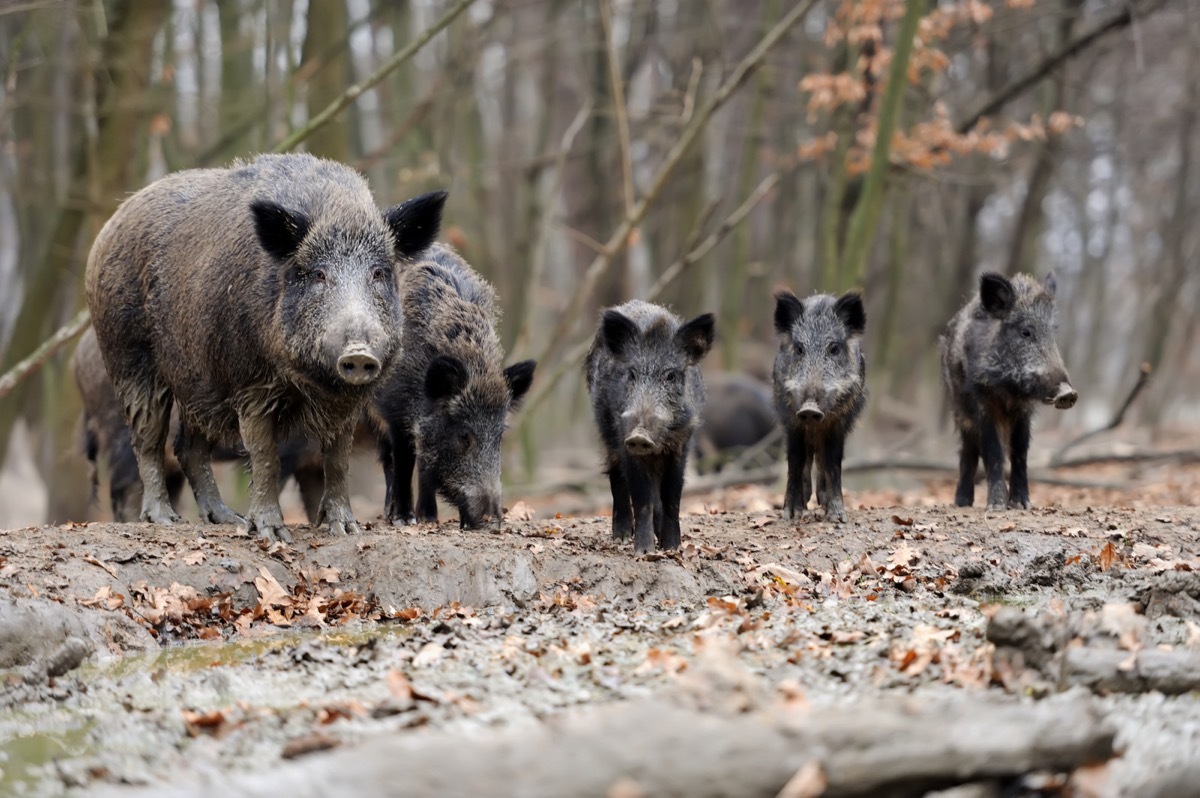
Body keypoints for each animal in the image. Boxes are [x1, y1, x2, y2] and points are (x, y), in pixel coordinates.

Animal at [85, 152, 445, 541]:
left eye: (378, 273)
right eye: (318, 274)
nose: (359, 353)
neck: (310, 381)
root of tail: (110, 226)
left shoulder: (346, 402)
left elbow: (337, 459)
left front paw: (345, 530)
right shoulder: (250, 385)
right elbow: (264, 455)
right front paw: (272, 533)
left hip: (198, 381)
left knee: (188, 447)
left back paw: (226, 519)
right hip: (128, 357)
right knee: (148, 438)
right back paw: (164, 518)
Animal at [372, 244, 536, 529]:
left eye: (500, 436)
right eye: (464, 436)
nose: (493, 520)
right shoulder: (395, 411)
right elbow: (404, 462)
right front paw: (404, 519)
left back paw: (429, 517)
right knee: (389, 459)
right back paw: (394, 515)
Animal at [586, 300, 715, 553]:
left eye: (671, 376)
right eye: (632, 374)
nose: (639, 435)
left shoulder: (682, 443)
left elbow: (672, 494)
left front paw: (672, 547)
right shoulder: (625, 441)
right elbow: (642, 496)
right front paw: (644, 551)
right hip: (607, 431)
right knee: (616, 476)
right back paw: (621, 536)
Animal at [772, 289, 867, 523]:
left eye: (833, 348)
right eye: (799, 349)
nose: (809, 408)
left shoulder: (839, 422)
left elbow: (833, 462)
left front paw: (837, 516)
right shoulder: (791, 419)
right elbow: (796, 460)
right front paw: (791, 514)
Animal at [940, 272, 1078, 510]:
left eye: (1053, 332)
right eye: (1026, 332)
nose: (1067, 393)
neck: (1009, 391)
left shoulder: (1024, 411)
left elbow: (1020, 451)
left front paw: (1023, 504)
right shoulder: (983, 402)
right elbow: (993, 451)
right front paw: (996, 507)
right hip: (960, 411)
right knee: (969, 450)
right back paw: (963, 502)